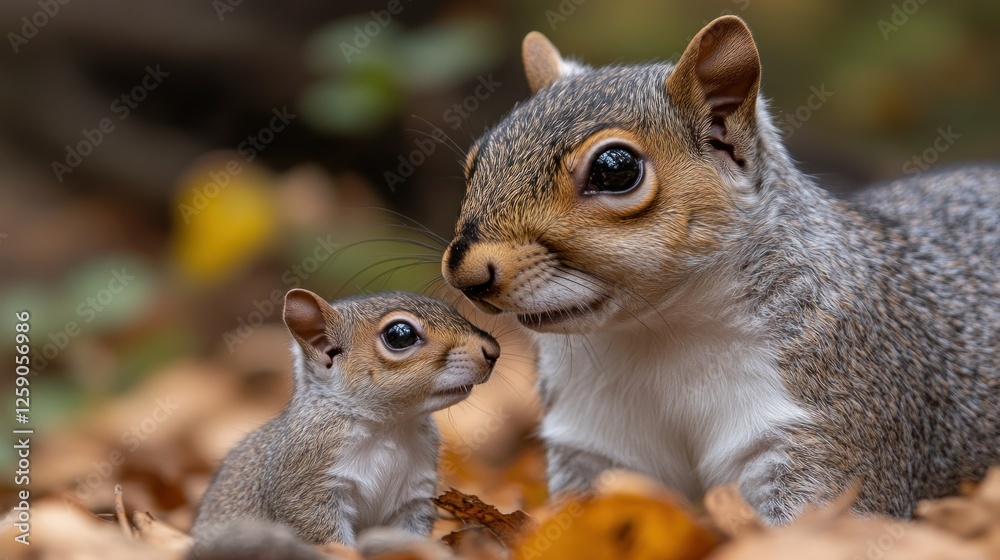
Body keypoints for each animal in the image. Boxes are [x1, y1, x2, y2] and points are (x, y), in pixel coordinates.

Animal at [189, 288, 500, 554]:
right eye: (400, 335)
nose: (493, 350)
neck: (390, 427)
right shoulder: (305, 486)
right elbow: (325, 535)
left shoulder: (414, 495)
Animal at [440, 16, 1000, 525]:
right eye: (475, 161)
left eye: (616, 169)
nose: (466, 273)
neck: (656, 337)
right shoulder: (594, 445)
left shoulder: (828, 421)